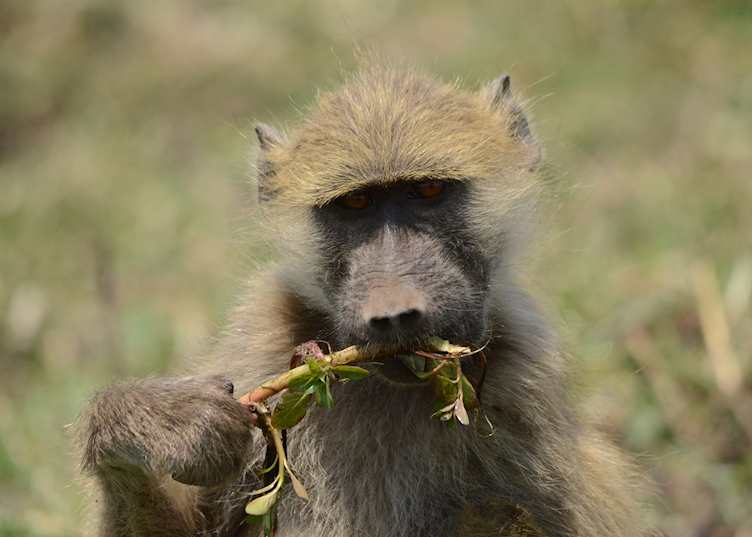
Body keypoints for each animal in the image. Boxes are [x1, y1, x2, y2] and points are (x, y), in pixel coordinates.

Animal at [77, 64, 649, 537]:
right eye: (355, 204)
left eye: (429, 192)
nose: (395, 314)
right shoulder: (261, 340)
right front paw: (155, 423)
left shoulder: (524, 384)